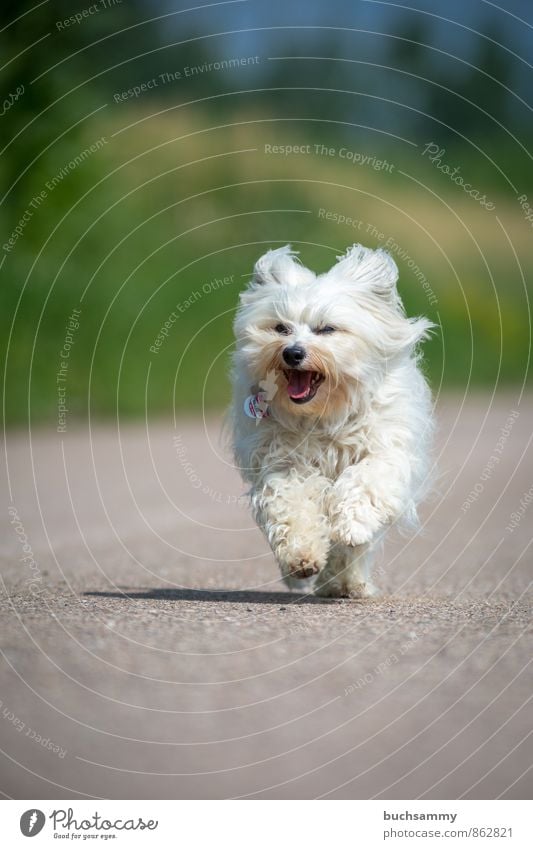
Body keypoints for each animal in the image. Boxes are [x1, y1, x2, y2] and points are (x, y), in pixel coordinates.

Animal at [229, 242, 432, 592]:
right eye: (281, 328)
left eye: (327, 329)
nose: (292, 352)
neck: (323, 415)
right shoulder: (283, 463)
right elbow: (290, 505)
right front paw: (301, 556)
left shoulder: (386, 450)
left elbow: (365, 482)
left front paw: (352, 525)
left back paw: (347, 582)